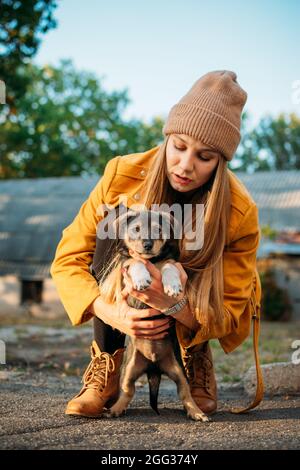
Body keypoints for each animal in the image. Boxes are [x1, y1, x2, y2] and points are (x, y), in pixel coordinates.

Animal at [98, 209, 209, 422]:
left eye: (158, 230)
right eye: (136, 229)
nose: (148, 245)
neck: (152, 261)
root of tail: (153, 367)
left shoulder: (171, 262)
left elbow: (169, 266)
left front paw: (172, 286)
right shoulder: (126, 267)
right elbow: (135, 262)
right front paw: (142, 279)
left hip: (178, 370)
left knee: (185, 393)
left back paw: (197, 412)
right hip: (129, 369)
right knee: (128, 391)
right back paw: (115, 409)